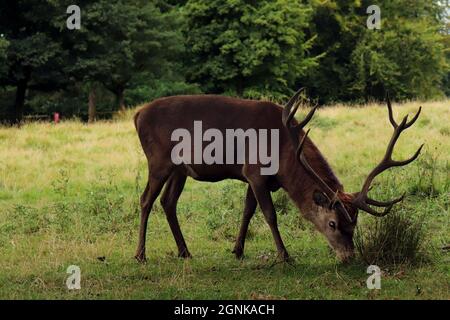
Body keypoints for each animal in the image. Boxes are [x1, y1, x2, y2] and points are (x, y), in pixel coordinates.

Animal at [133, 89, 422, 264]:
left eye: (355, 224)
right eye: (332, 223)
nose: (348, 256)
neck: (283, 157)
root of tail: (137, 115)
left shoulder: (254, 177)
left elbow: (247, 210)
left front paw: (237, 250)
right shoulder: (255, 171)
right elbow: (269, 214)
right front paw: (284, 255)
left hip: (179, 169)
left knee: (168, 202)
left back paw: (184, 251)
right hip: (158, 160)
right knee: (146, 199)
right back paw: (141, 254)